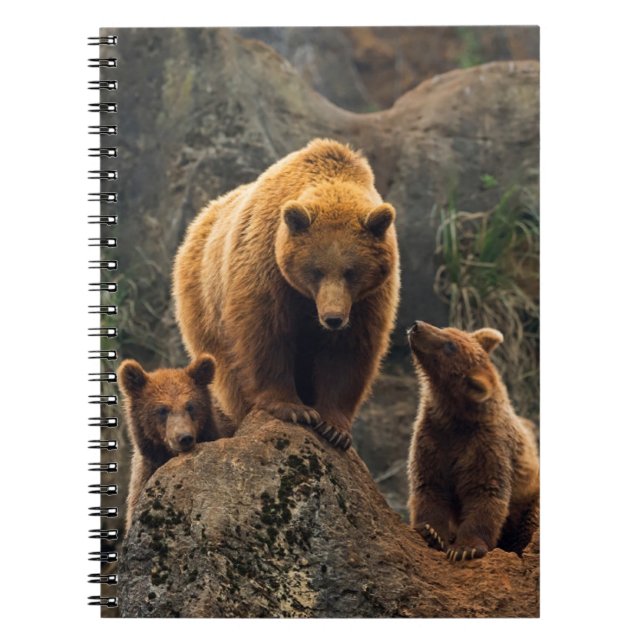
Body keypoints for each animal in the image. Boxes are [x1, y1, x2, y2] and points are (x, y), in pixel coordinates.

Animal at [173, 138, 400, 450]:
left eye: (351, 271)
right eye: (316, 270)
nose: (333, 318)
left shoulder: (368, 299)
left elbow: (348, 351)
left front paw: (334, 427)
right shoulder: (267, 267)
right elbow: (266, 333)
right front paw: (294, 409)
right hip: (205, 305)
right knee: (227, 370)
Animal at [406, 321, 539, 561]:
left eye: (450, 346)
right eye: (447, 329)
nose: (416, 326)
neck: (455, 417)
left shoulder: (486, 446)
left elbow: (485, 493)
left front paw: (464, 549)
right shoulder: (432, 437)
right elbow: (429, 484)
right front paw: (431, 532)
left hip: (530, 500)